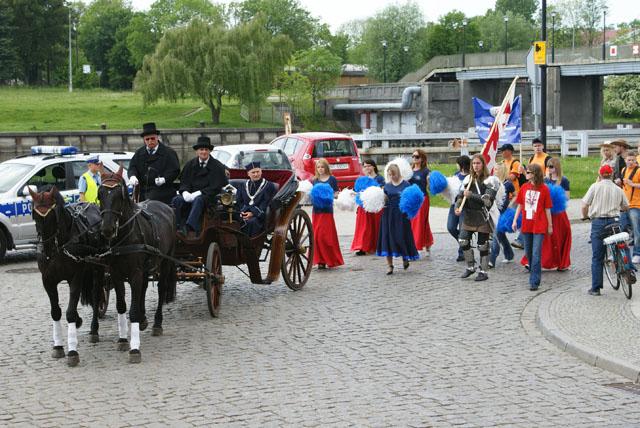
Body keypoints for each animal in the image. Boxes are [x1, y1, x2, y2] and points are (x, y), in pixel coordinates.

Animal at [30, 186, 129, 366]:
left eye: (52, 214)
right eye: (34, 214)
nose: (45, 249)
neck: (59, 246)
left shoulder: (75, 276)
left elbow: (69, 311)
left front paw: (72, 351)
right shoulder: (48, 280)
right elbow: (56, 312)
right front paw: (58, 346)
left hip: (97, 269)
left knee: (97, 295)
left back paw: (94, 330)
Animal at [97, 169, 178, 362]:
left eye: (119, 195)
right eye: (100, 194)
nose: (107, 229)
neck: (125, 236)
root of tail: (166, 207)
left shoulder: (135, 272)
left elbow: (132, 310)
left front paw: (134, 348)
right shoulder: (116, 274)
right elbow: (121, 306)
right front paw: (122, 339)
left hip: (165, 262)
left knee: (161, 288)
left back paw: (157, 323)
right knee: (144, 287)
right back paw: (143, 320)